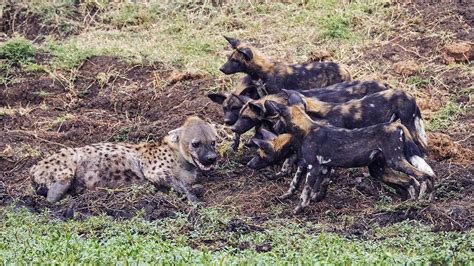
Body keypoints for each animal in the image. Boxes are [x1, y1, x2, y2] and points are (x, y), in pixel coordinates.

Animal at [30, 117, 219, 204]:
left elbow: (185, 183)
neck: (182, 161)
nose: (211, 158)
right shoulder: (154, 170)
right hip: (65, 169)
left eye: (213, 142)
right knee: (52, 195)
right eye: (195, 143)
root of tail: (32, 169)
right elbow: (180, 184)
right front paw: (194, 198)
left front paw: (195, 188)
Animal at [264, 100, 436, 214]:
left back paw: (419, 202)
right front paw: (289, 197)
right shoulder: (315, 166)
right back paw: (407, 204)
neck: (306, 129)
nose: (274, 127)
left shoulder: (313, 167)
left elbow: (304, 192)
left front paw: (298, 209)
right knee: (410, 181)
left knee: (421, 176)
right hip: (380, 170)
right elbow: (295, 184)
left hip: (395, 161)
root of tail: (397, 125)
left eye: (277, 117)